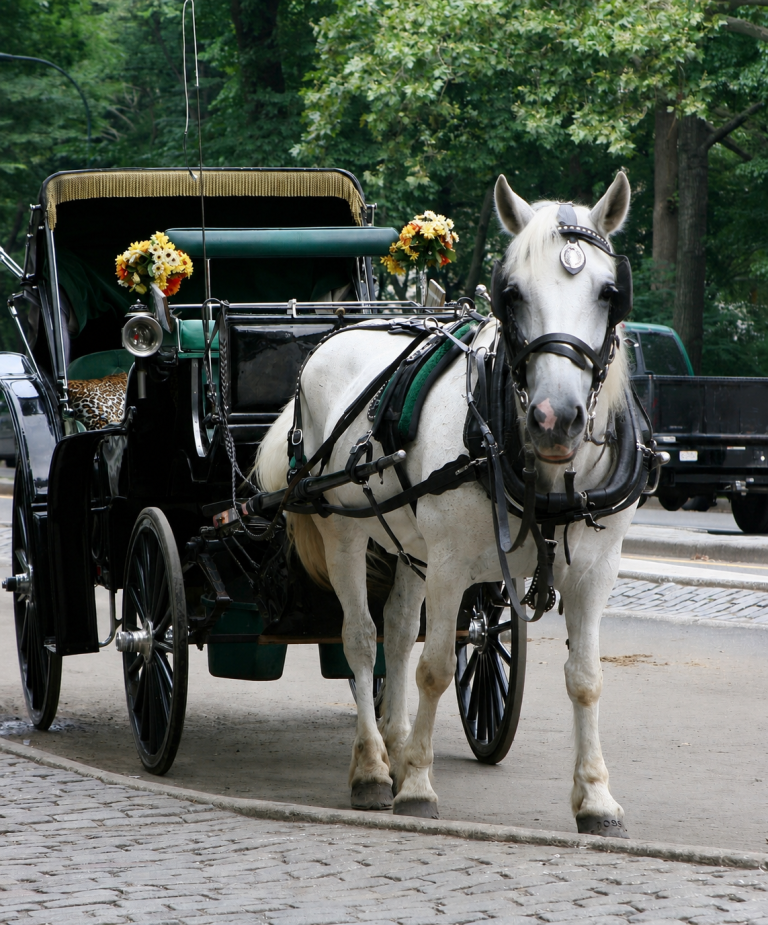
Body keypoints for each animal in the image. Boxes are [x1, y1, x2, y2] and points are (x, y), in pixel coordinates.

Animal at [255, 171, 640, 836]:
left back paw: (396, 740)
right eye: (511, 294)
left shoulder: (596, 571)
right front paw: (416, 785)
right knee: (361, 638)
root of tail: (335, 333)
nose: (554, 419)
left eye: (609, 292)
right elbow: (434, 667)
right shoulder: (453, 565)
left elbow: (586, 680)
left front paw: (595, 798)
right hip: (347, 534)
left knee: (395, 628)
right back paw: (374, 768)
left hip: (410, 546)